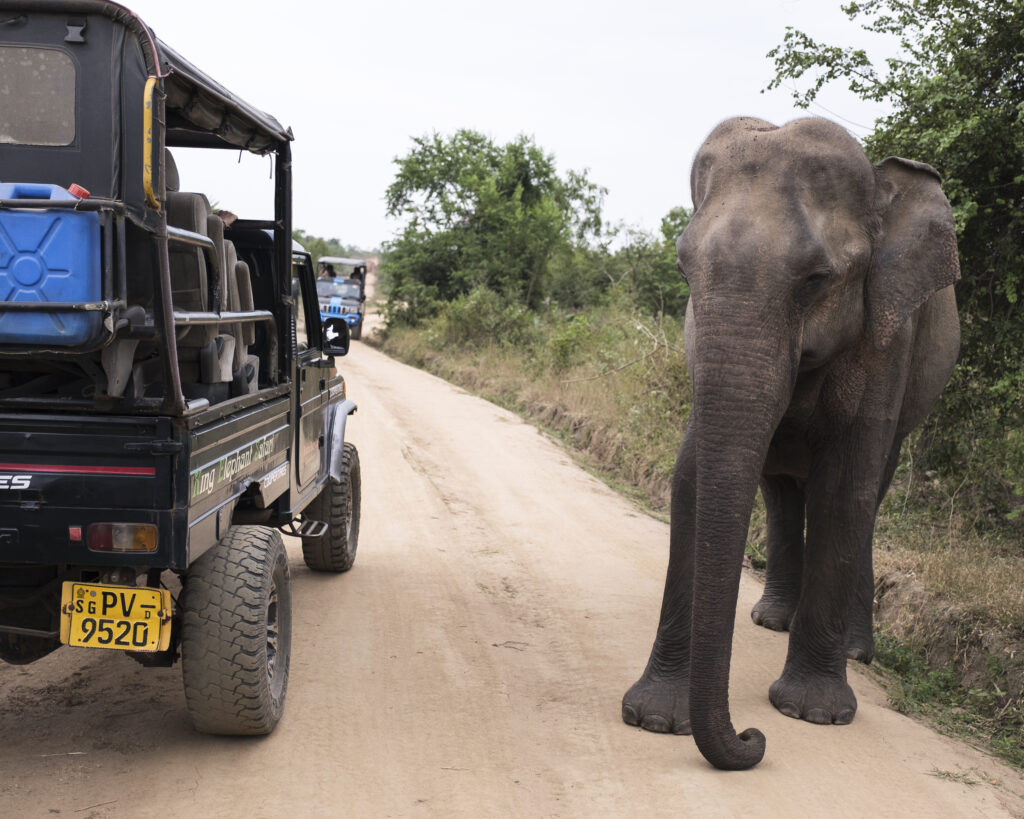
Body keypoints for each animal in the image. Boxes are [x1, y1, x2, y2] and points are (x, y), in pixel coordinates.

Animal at [621, 117, 960, 770]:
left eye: (816, 280)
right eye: (684, 271)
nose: (752, 739)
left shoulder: (890, 333)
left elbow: (844, 490)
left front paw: (813, 714)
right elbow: (692, 478)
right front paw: (655, 720)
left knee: (868, 494)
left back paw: (853, 651)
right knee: (780, 489)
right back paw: (772, 619)